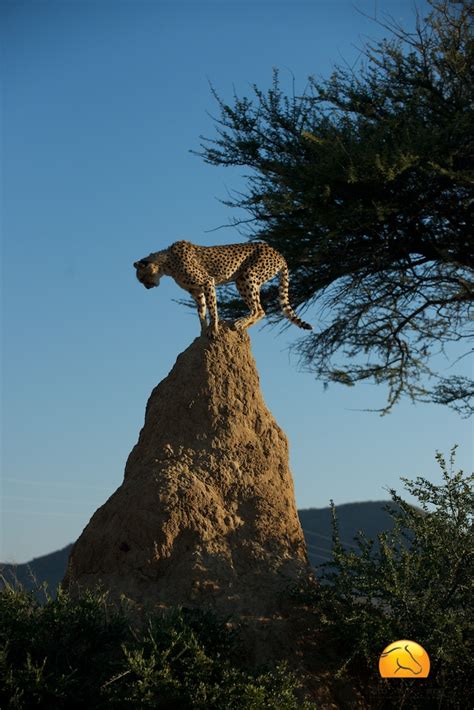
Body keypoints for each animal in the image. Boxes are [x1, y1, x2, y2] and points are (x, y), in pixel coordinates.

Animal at [133, 241, 312, 338]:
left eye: (141, 278)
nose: (147, 287)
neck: (166, 263)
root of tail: (278, 252)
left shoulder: (207, 282)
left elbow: (212, 309)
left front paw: (213, 329)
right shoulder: (196, 292)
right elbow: (201, 312)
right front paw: (203, 331)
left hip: (246, 277)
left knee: (260, 310)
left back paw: (240, 322)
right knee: (260, 309)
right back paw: (242, 325)